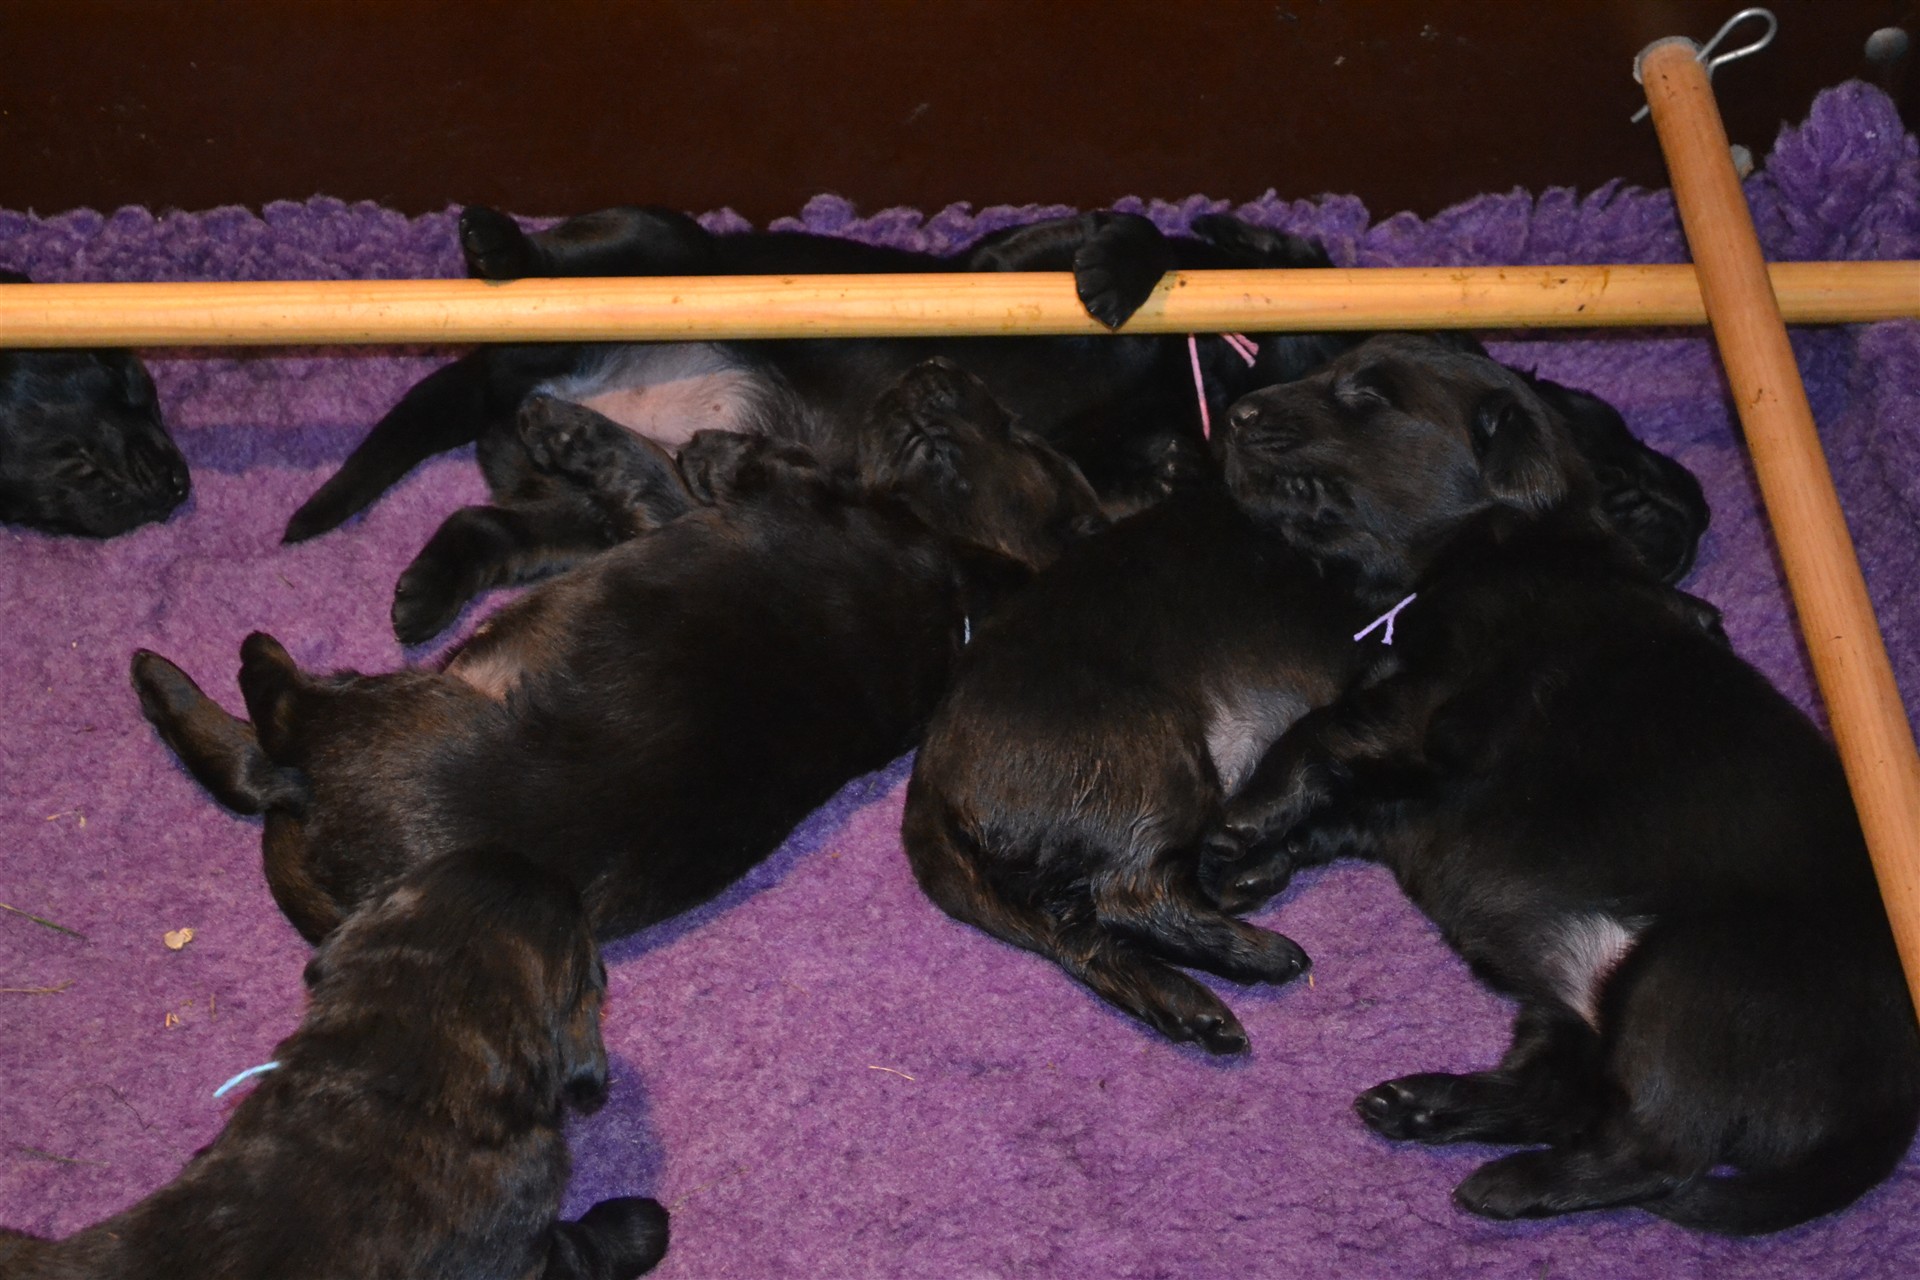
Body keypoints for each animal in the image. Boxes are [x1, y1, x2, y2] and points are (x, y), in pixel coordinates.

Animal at [132, 359, 1104, 943]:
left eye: (1018, 434)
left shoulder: (768, 498)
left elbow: (675, 458)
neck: (958, 579)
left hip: (391, 709)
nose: (939, 367)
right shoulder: (680, 516)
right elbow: (650, 473)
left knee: (269, 729)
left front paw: (569, 424)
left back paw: (219, 662)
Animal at [281, 207, 1352, 643]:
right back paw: (499, 249)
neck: (1194, 368)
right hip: (656, 242)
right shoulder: (996, 262)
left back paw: (425, 593)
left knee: (489, 522)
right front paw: (1120, 272)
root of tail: (505, 373)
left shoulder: (1104, 457)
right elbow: (1132, 229)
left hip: (569, 506)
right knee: (559, 261)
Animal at [901, 333, 1710, 1054]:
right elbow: (1326, 738)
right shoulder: (1414, 680)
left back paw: (1198, 993)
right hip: (1146, 757)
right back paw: (1260, 948)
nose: (1237, 414)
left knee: (1089, 932)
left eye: (1366, 398)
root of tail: (927, 791)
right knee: (1126, 894)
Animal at [1200, 333, 1920, 1233]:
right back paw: (1423, 1106)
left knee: (1656, 1153)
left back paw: (1509, 1183)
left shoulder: (1428, 709)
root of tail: (1891, 1109)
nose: (1235, 414)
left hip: (1694, 985)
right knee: (1555, 1094)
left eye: (1368, 396)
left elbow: (1316, 733)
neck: (1495, 547)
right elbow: (1340, 797)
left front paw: (1242, 818)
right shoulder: (1411, 785)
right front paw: (1253, 863)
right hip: (1571, 1009)